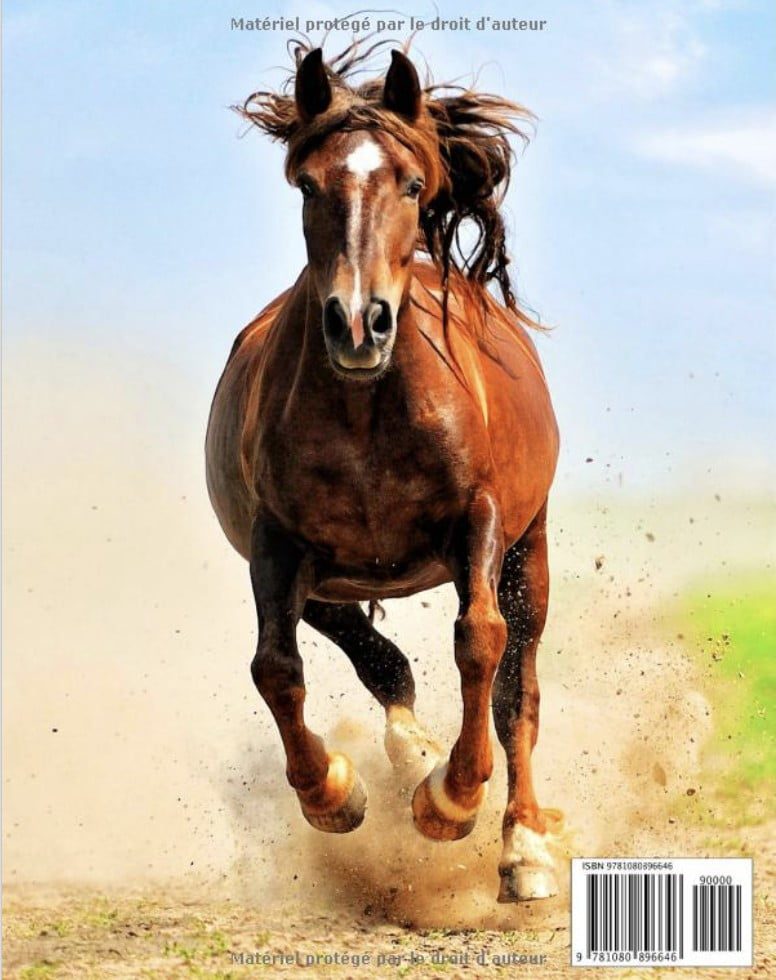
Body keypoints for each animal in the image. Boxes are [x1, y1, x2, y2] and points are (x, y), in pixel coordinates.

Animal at [206, 41, 561, 903]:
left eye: (408, 183)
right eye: (308, 184)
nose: (358, 324)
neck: (367, 411)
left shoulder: (480, 521)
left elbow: (482, 643)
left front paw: (452, 802)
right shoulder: (277, 544)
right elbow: (275, 668)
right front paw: (334, 793)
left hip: (528, 549)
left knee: (518, 690)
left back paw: (522, 845)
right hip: (328, 584)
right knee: (379, 663)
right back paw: (411, 754)